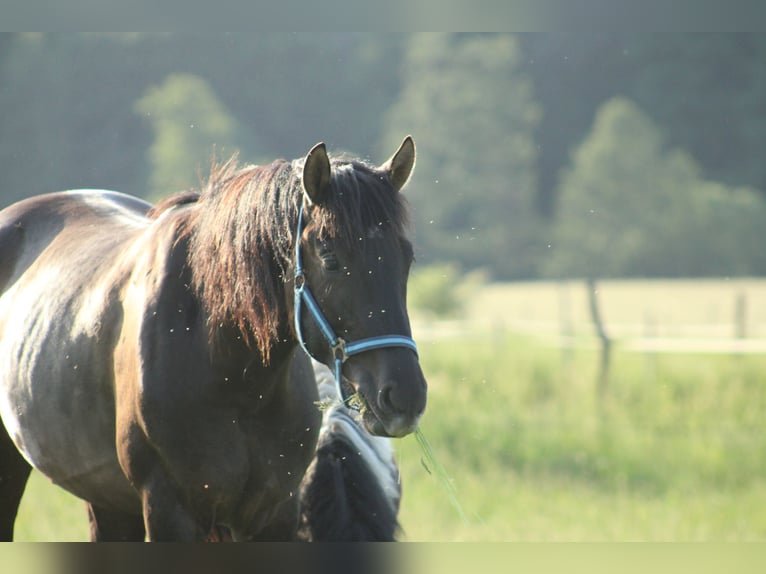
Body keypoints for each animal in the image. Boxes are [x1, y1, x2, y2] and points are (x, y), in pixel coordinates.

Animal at [0, 137, 426, 541]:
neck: (228, 369)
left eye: (406, 258)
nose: (404, 396)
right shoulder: (168, 511)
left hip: (107, 498)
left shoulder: (275, 514)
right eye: (330, 259)